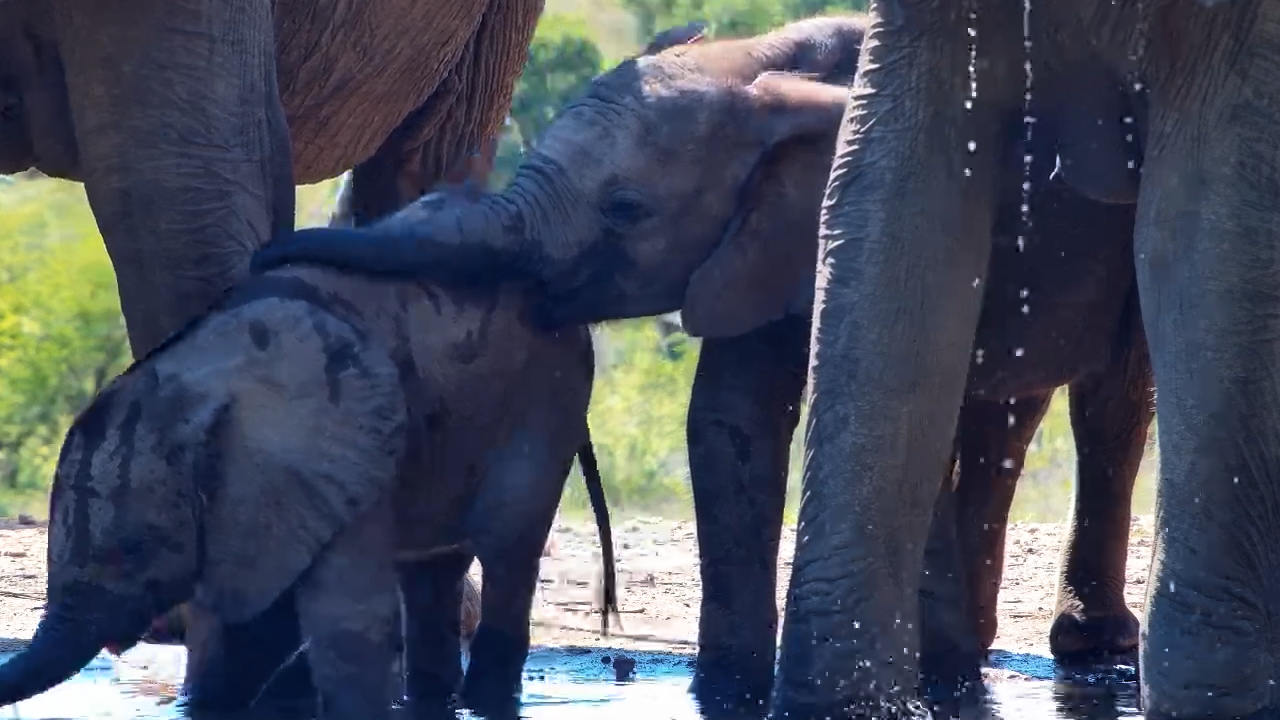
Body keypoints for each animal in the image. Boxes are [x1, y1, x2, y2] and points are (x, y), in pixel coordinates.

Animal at [0, 219, 620, 719]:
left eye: (134, 550)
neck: (197, 377)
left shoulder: (341, 455)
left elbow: (343, 621)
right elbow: (257, 625)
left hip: (548, 402)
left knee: (508, 549)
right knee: (432, 574)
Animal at [248, 11, 1155, 712]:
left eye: (626, 208)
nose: (264, 256)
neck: (756, 62)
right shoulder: (756, 239)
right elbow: (730, 421)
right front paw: (725, 690)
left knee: (1111, 396)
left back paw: (1076, 644)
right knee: (1004, 415)